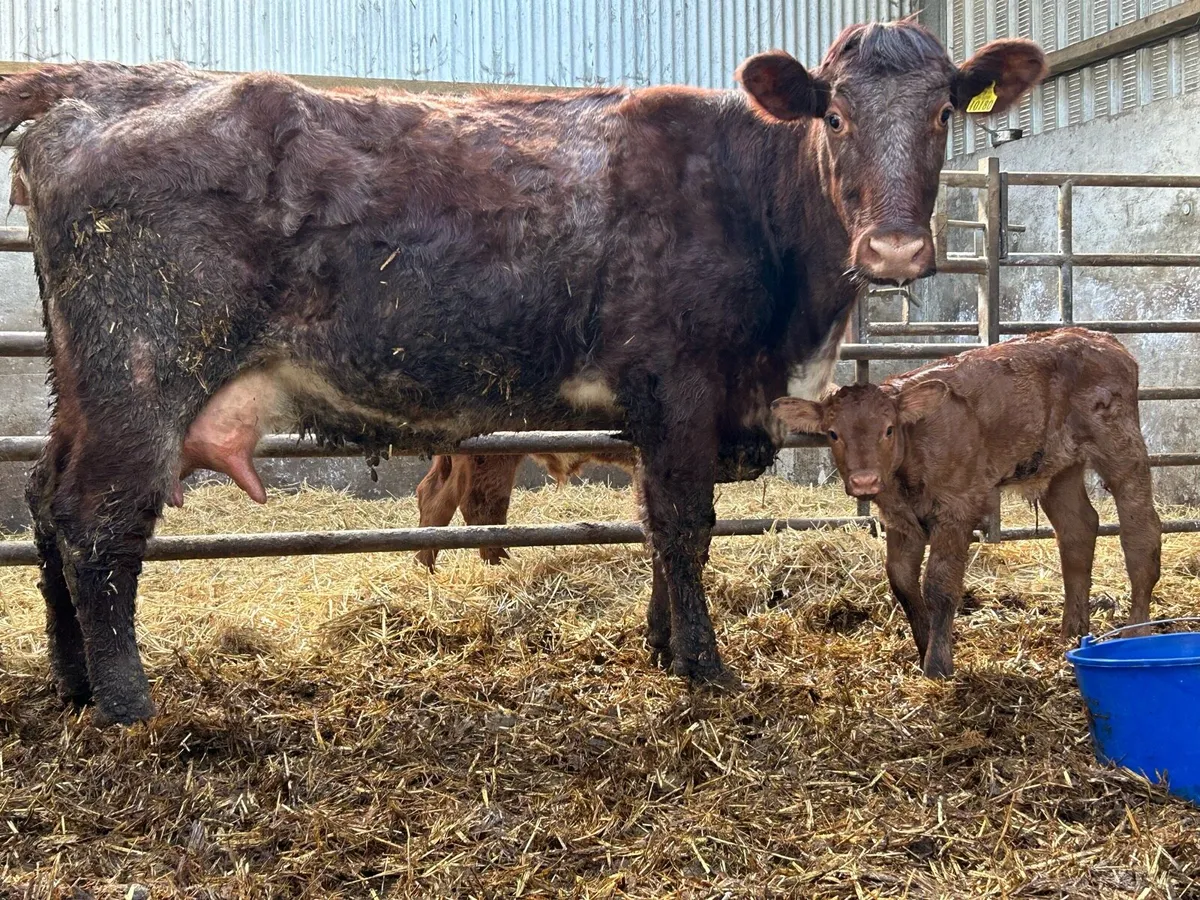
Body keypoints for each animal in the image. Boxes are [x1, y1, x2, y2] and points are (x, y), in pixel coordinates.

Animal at [772, 328, 1162, 679]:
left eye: (888, 429)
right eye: (834, 434)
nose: (864, 480)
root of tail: (1103, 339)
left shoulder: (957, 507)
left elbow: (939, 585)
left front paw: (938, 665)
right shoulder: (899, 518)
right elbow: (902, 581)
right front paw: (923, 648)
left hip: (1120, 446)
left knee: (1141, 532)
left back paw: (1137, 633)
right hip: (1060, 468)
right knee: (1078, 529)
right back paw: (1072, 632)